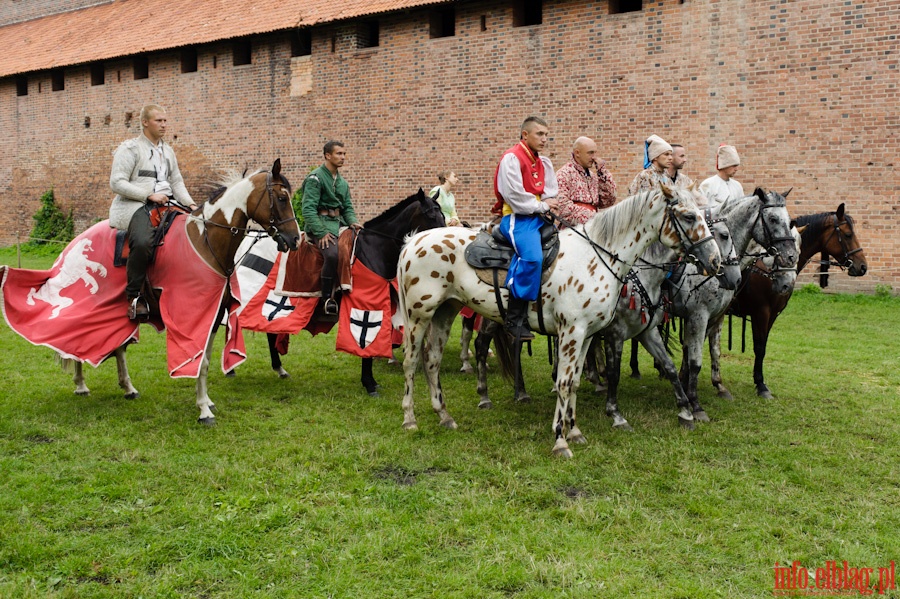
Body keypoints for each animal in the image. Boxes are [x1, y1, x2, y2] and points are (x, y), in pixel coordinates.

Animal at [239, 190, 446, 394]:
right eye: (430, 215)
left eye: (442, 215)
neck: (373, 249)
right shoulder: (366, 304)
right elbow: (365, 342)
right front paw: (369, 383)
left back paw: (279, 369)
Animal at [398, 185, 720, 458]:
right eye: (688, 216)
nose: (716, 261)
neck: (597, 256)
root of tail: (414, 240)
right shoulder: (572, 332)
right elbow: (564, 382)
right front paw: (560, 440)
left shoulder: (588, 335)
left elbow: (575, 381)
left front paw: (574, 431)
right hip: (419, 315)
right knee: (412, 362)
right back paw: (410, 419)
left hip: (446, 311)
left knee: (433, 360)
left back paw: (444, 415)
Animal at [664, 190, 800, 410]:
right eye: (772, 219)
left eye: (789, 221)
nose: (790, 257)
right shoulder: (699, 315)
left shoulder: (715, 316)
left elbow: (707, 349)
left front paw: (709, 385)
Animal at [728, 205, 868, 398]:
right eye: (847, 235)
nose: (862, 267)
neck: (769, 269)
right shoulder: (761, 313)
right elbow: (759, 347)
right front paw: (761, 385)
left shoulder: (772, 315)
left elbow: (763, 347)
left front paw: (760, 382)